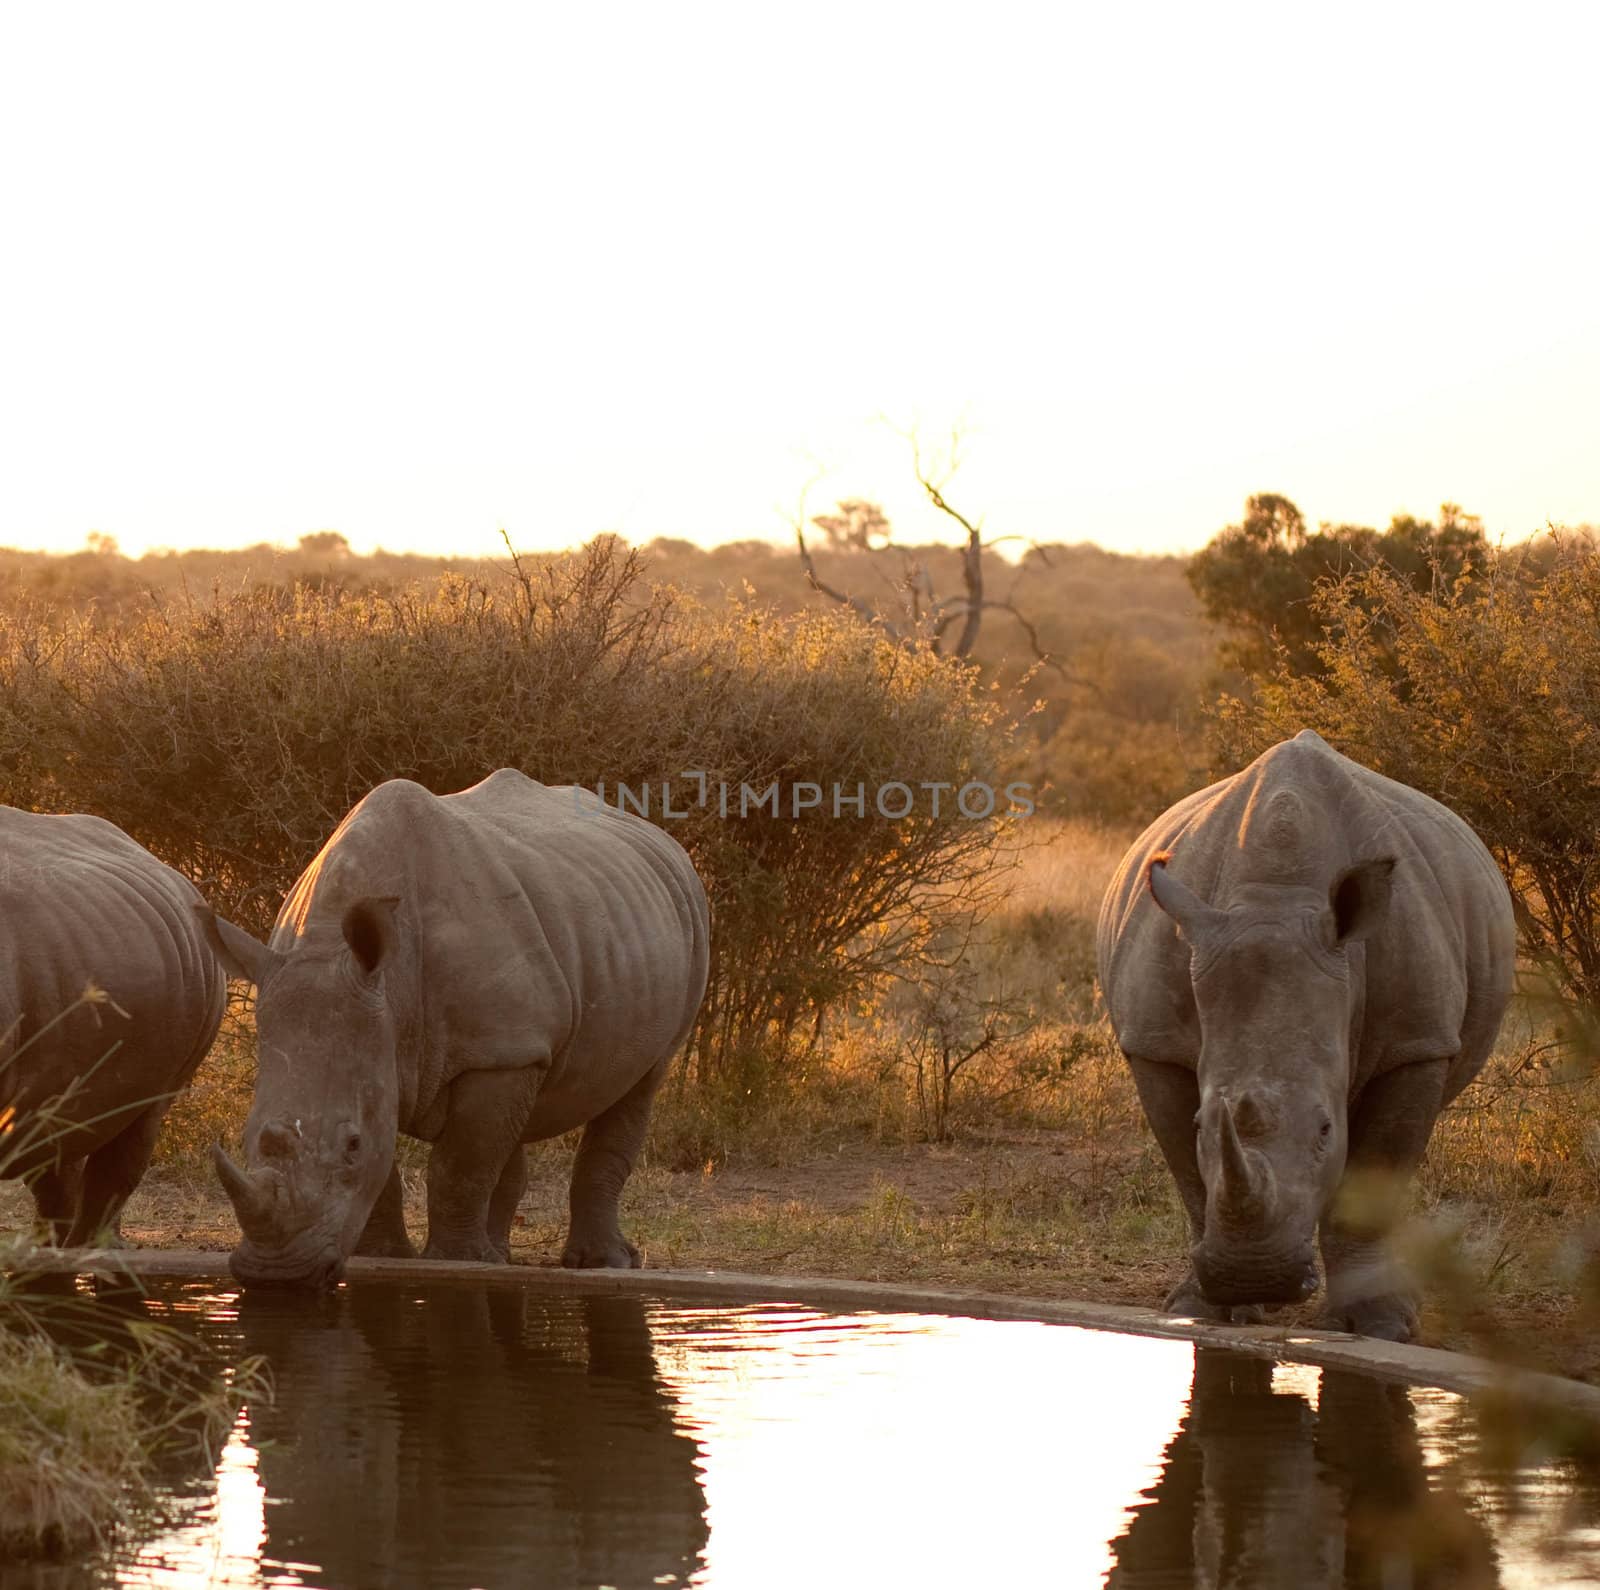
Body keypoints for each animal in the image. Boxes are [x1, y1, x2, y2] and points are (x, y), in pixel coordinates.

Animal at [198, 767, 707, 1292]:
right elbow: (405, 1158)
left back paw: (599, 1262)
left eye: (351, 1145)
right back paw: (499, 1256)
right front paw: (387, 1256)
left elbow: (459, 1165)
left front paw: (454, 1260)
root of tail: (664, 841)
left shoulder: (493, 1051)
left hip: (685, 925)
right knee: (521, 1112)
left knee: (640, 1083)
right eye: (247, 1138)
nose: (276, 1275)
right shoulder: (424, 1046)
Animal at [1094, 732, 1516, 1337]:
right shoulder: (1154, 1043)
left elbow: (1371, 1182)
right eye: (1202, 1124)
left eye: (1324, 1129)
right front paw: (1199, 1308)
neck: (1276, 896)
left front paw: (1378, 1327)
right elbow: (1190, 1176)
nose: (1253, 1273)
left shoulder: (1416, 1043)